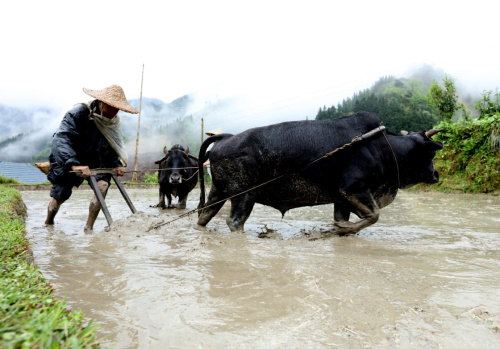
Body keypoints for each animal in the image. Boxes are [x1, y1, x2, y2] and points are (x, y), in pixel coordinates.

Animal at [197, 111, 444, 234]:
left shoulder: (343, 199)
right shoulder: (354, 189)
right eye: (430, 153)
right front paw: (343, 228)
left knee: (203, 216)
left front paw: (340, 229)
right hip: (244, 195)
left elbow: (350, 218)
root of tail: (225, 138)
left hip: (218, 192)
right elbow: (373, 215)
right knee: (234, 222)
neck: (382, 148)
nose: (436, 175)